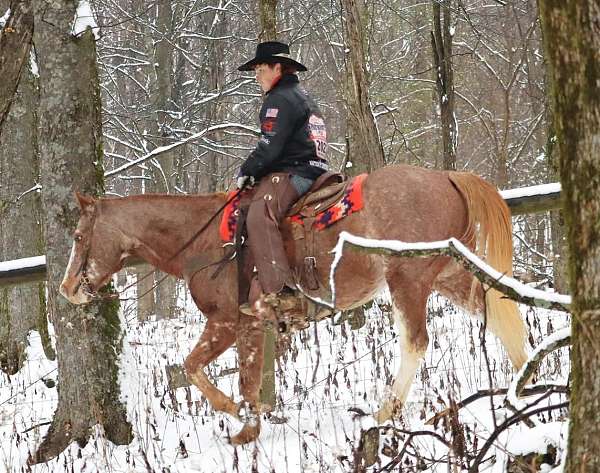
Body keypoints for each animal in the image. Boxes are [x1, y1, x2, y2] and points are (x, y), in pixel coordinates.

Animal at [58, 164, 528, 444]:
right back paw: (525, 379)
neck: (204, 240)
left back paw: (382, 412)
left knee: (415, 342)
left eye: (79, 236)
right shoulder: (250, 327)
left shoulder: (226, 322)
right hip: (449, 275)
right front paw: (249, 424)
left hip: (407, 280)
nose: (67, 288)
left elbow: (198, 369)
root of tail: (447, 177)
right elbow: (245, 379)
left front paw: (235, 415)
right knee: (500, 309)